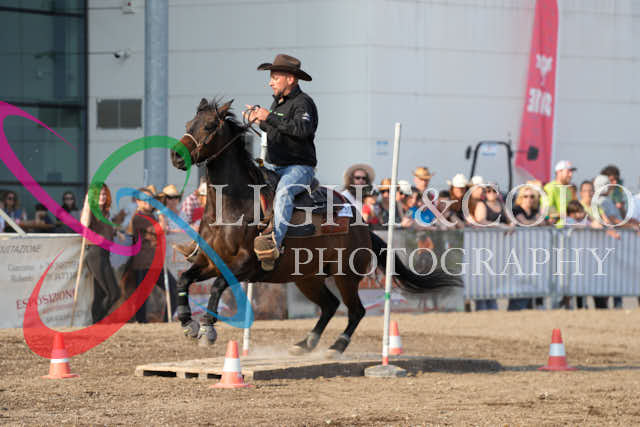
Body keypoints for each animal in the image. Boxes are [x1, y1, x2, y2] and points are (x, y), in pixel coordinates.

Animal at [170, 98, 461, 357]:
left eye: (209, 125)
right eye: (188, 123)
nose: (176, 156)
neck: (233, 206)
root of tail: (363, 227)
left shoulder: (245, 264)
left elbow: (218, 286)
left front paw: (207, 329)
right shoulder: (210, 260)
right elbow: (185, 278)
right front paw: (187, 322)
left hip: (345, 276)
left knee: (355, 310)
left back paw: (336, 347)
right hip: (307, 278)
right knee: (330, 306)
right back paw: (305, 343)